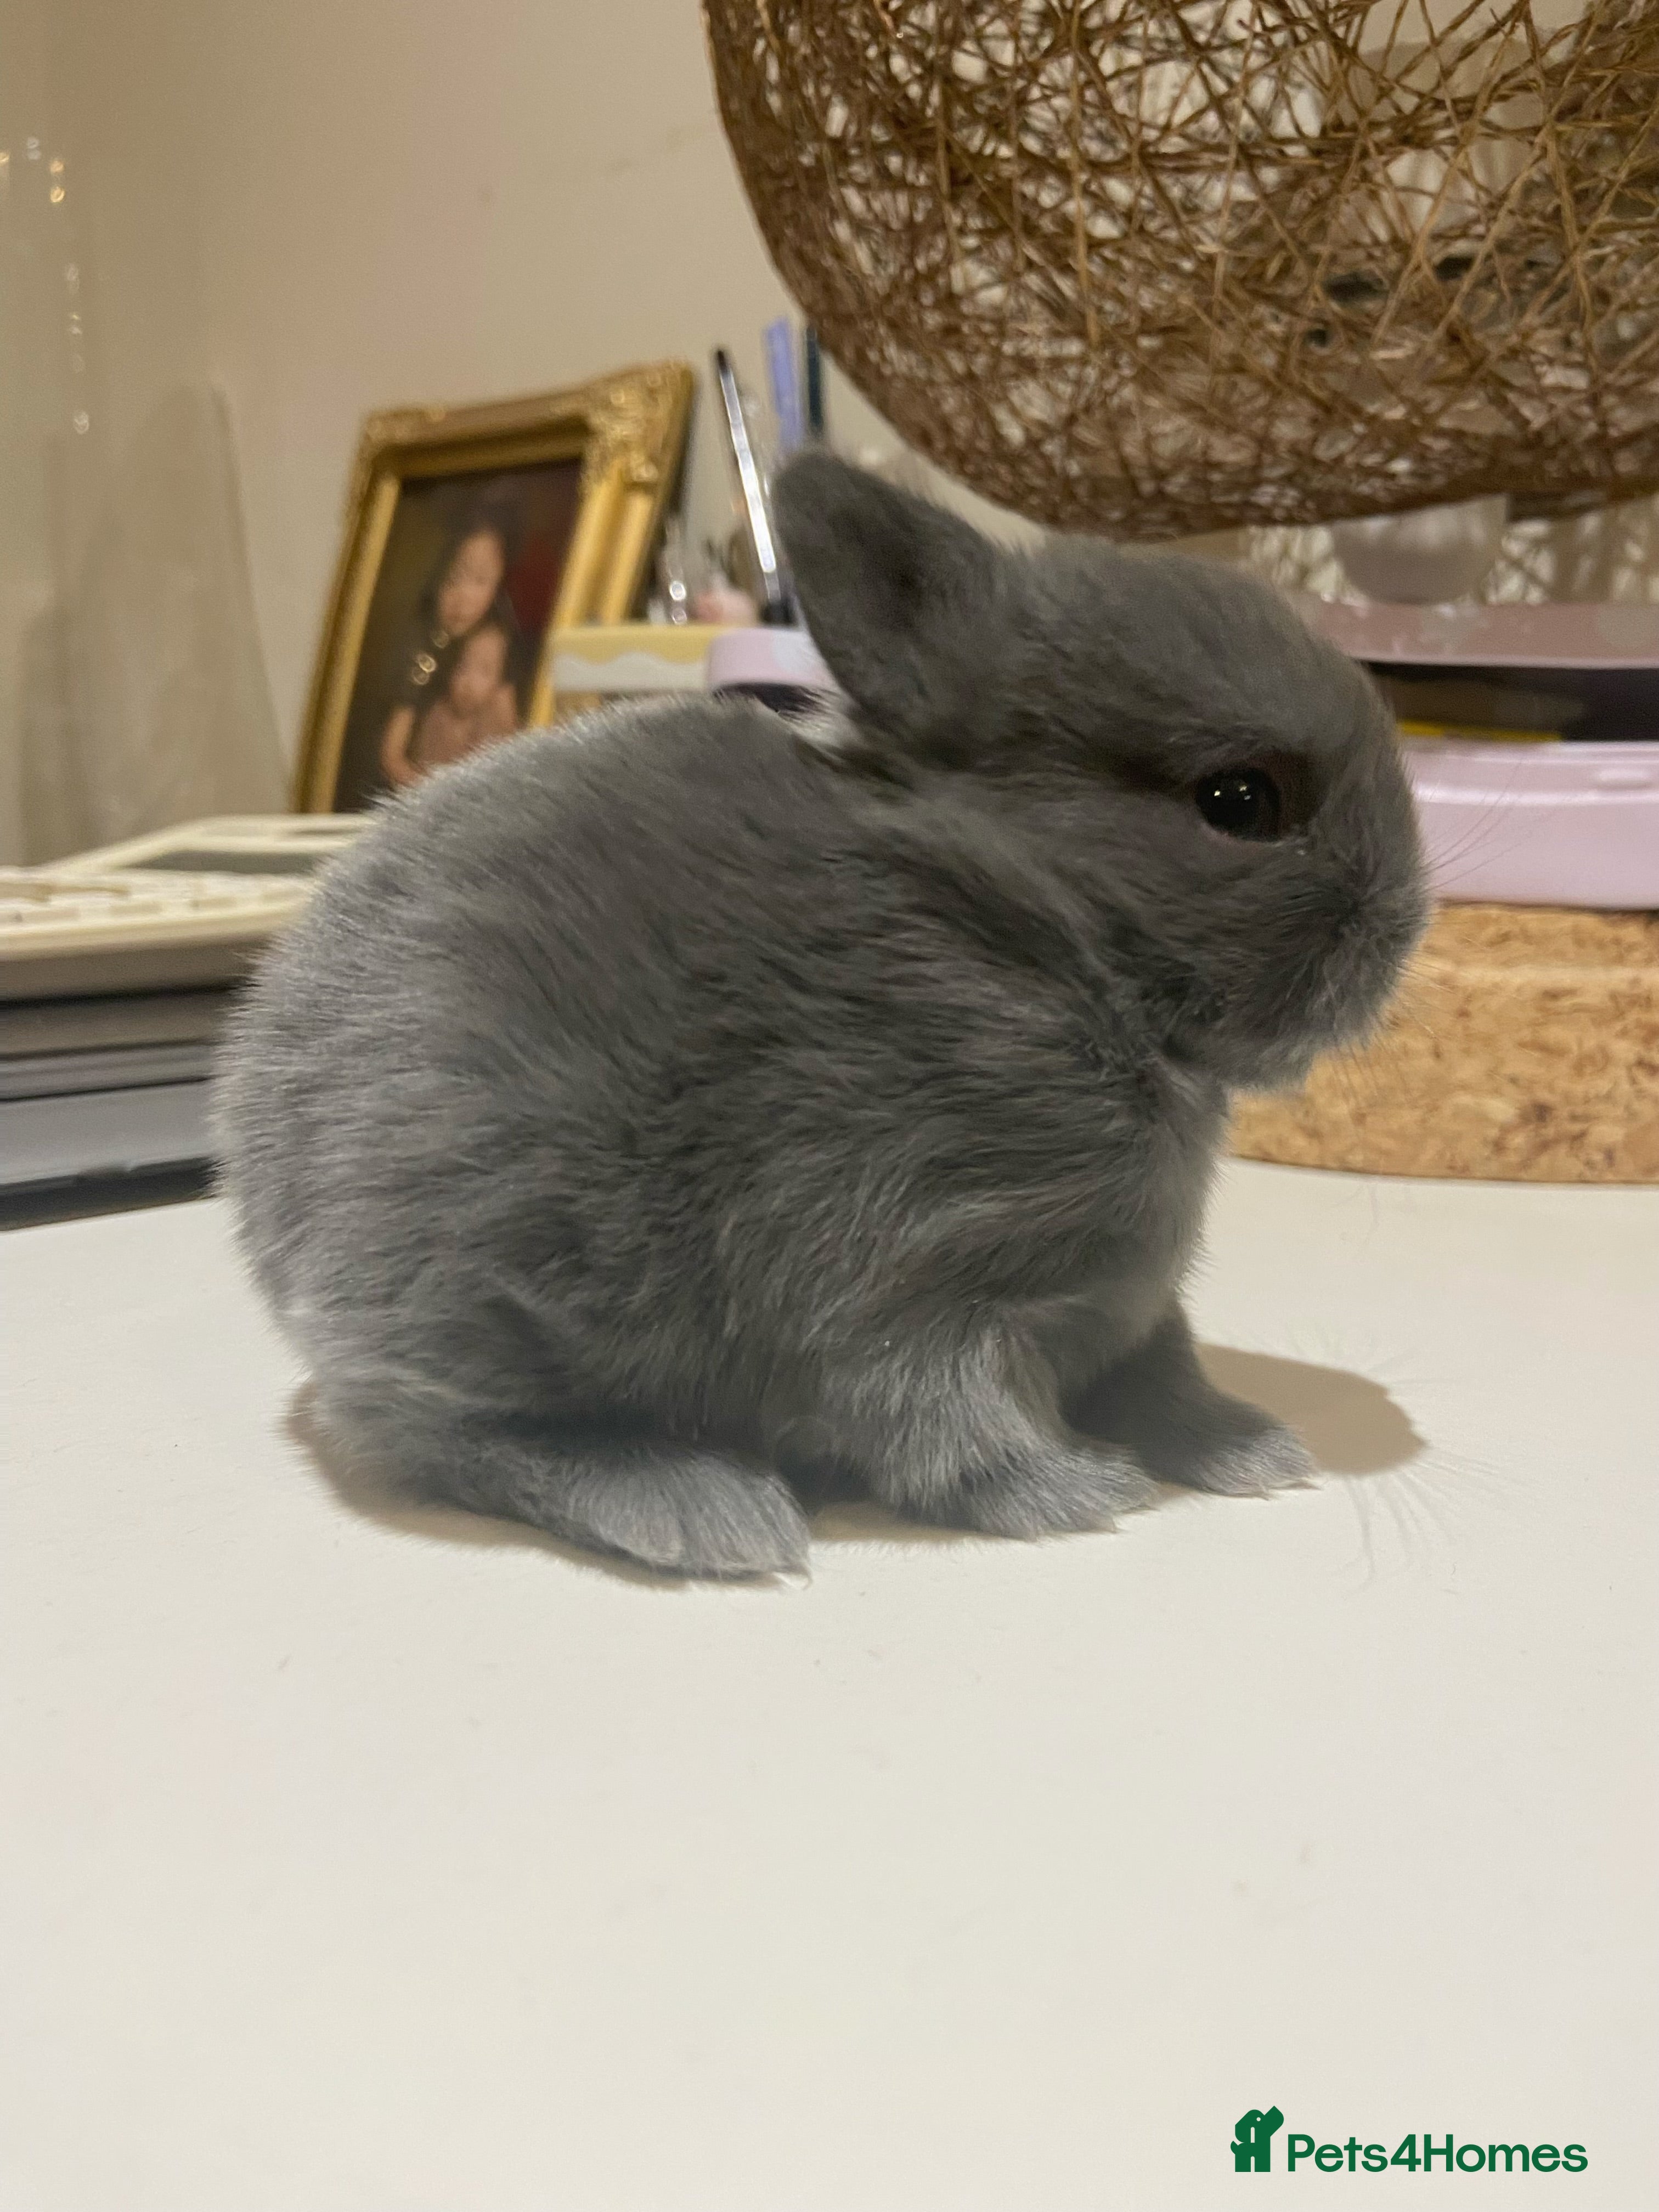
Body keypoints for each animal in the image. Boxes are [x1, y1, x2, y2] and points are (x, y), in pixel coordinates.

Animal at [215, 451, 1427, 1578]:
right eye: (1239, 802)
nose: (1407, 925)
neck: (1046, 935)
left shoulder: (1128, 1305)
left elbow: (1166, 1376)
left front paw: (1255, 1450)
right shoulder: (897, 1271)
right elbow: (940, 1423)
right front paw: (1078, 1492)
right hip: (492, 1277)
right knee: (454, 1439)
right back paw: (708, 1510)